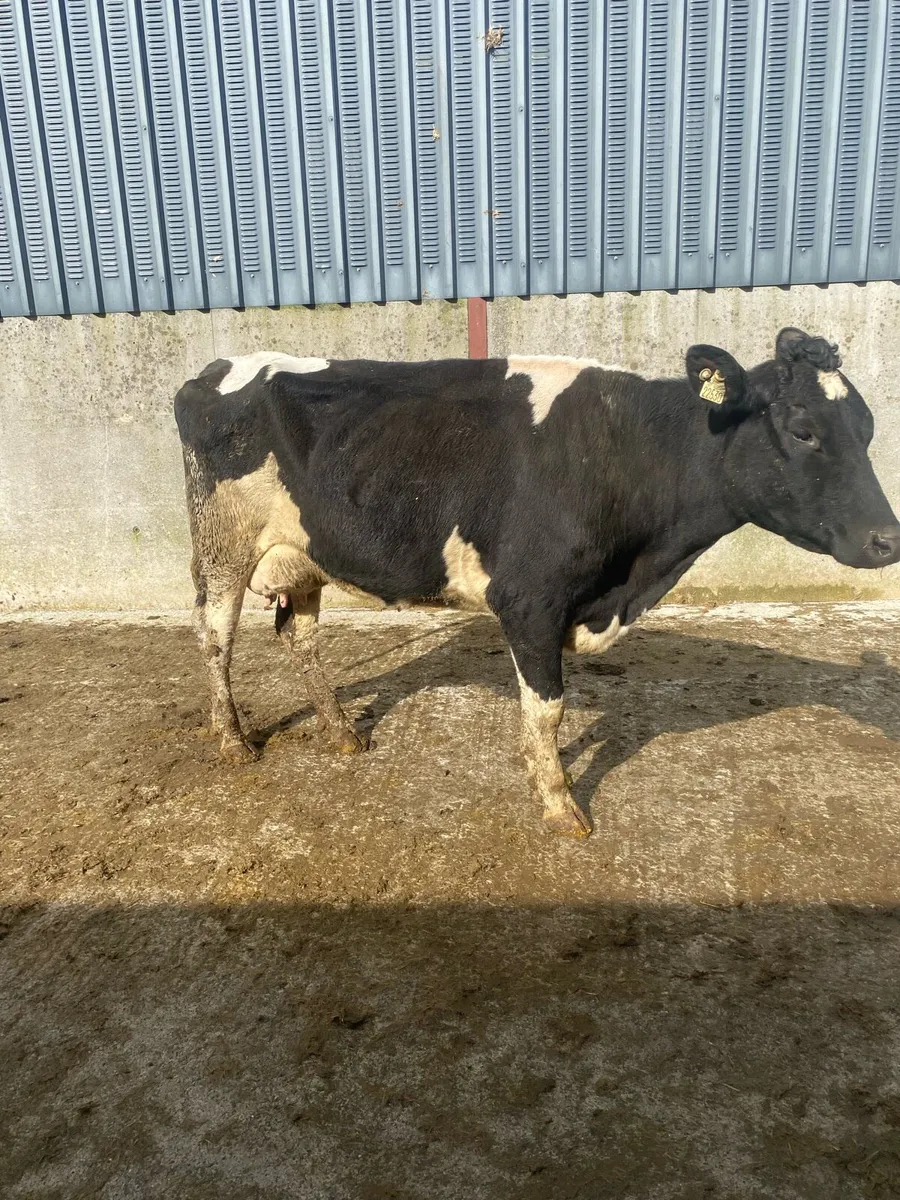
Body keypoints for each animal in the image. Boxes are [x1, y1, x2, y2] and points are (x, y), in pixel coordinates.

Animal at [174, 328, 900, 838]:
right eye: (803, 430)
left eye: (868, 430)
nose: (888, 539)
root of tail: (217, 369)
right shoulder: (529, 599)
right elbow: (546, 709)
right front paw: (558, 804)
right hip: (222, 543)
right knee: (214, 636)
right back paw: (234, 741)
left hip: (305, 553)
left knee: (300, 638)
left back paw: (343, 733)